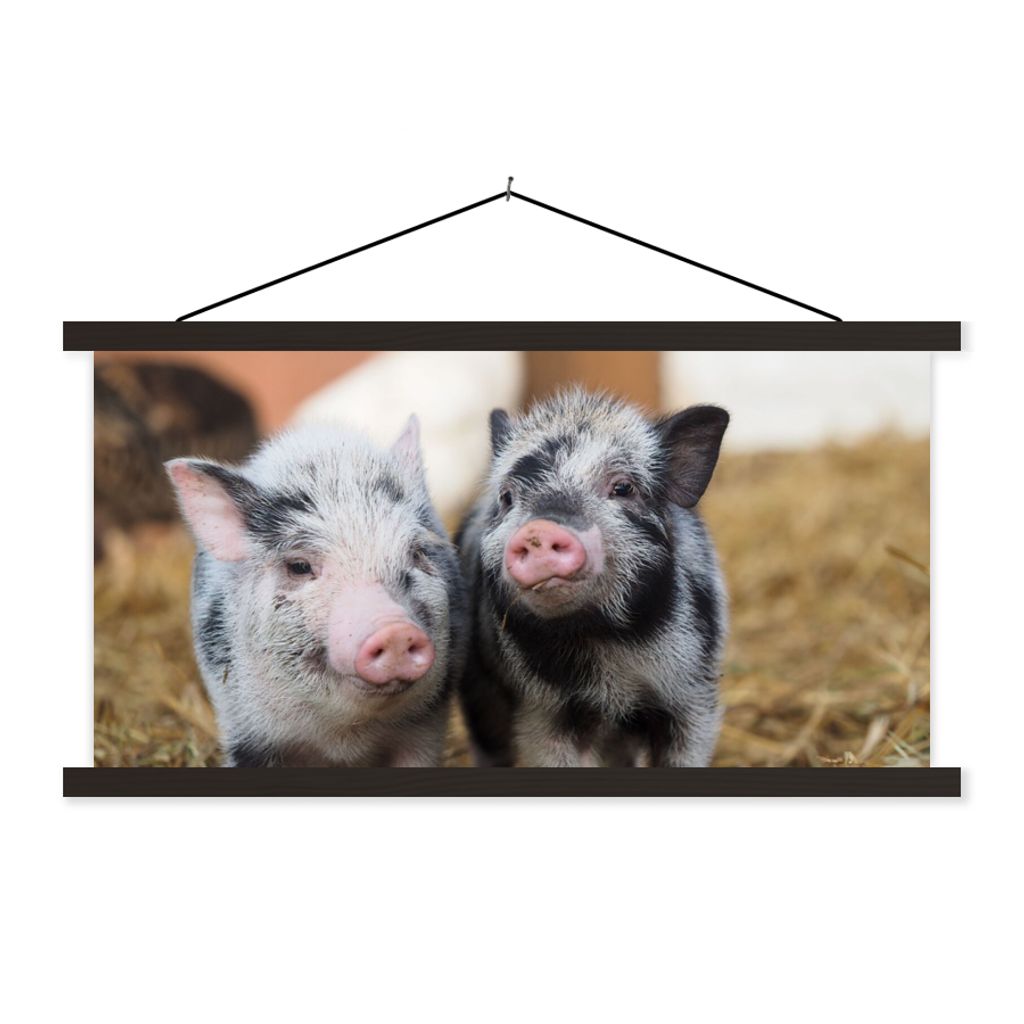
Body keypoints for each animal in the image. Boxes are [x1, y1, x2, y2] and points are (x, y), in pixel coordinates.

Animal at [165, 418, 466, 767]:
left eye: (416, 553)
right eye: (299, 566)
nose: (395, 631)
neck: (345, 740)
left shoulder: (425, 728)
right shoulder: (247, 732)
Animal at [456, 388, 729, 767]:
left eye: (623, 487)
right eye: (507, 497)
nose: (540, 530)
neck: (601, 639)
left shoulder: (693, 695)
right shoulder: (542, 711)